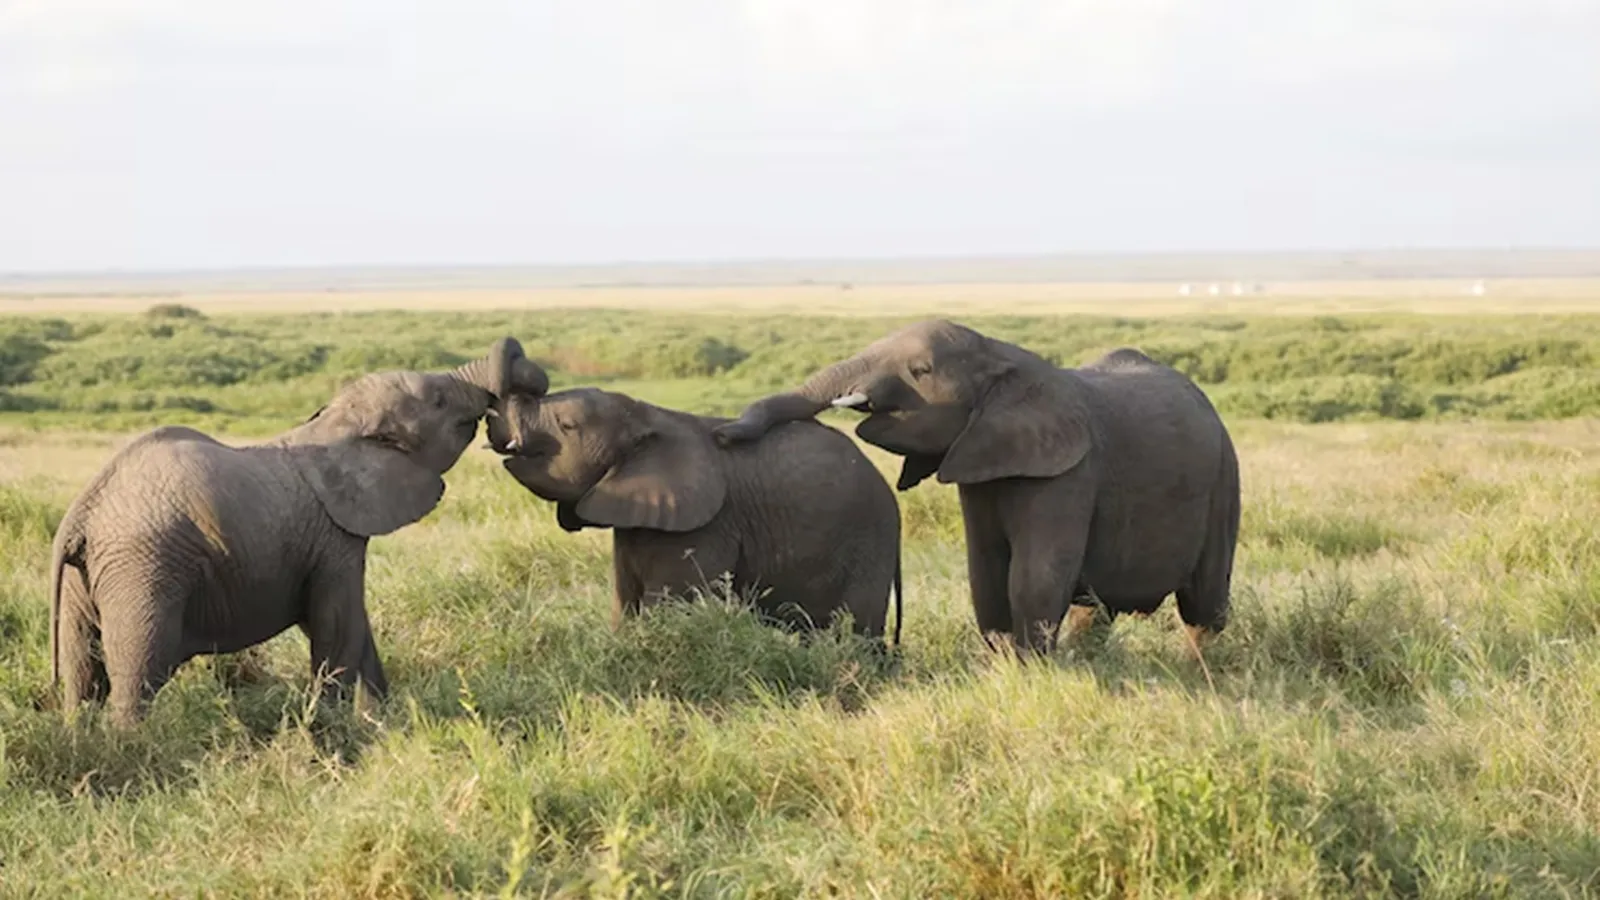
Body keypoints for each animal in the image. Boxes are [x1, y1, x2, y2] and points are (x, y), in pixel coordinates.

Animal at [48, 337, 549, 727]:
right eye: (440, 401)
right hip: (144, 569)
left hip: (86, 579)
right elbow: (337, 627)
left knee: (82, 676)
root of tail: (81, 515)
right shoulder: (334, 541)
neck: (333, 426)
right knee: (138, 675)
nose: (504, 420)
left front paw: (382, 727)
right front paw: (336, 731)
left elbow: (352, 629)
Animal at [489, 387, 904, 647]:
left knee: (857, 628)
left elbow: (669, 605)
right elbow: (624, 602)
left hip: (868, 543)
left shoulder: (708, 525)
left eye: (567, 426)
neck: (647, 416)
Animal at [712, 319, 1239, 657]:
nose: (724, 435)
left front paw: (1031, 672)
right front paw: (1001, 665)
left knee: (1204, 605)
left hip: (1225, 476)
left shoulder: (1069, 471)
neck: (1001, 356)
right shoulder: (979, 463)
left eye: (921, 371)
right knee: (1095, 610)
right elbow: (985, 572)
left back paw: (1199, 671)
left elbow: (1034, 577)